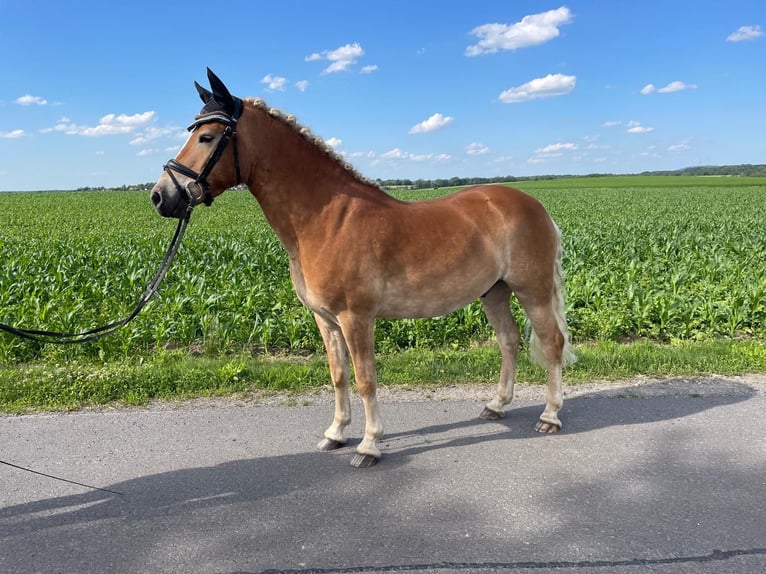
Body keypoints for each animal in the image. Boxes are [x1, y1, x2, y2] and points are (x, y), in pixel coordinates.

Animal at [150, 70, 576, 470]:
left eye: (207, 136)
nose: (160, 196)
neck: (325, 219)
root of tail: (535, 206)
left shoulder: (356, 318)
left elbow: (365, 378)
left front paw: (369, 445)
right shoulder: (326, 319)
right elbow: (338, 375)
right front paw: (336, 433)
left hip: (532, 290)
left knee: (552, 343)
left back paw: (550, 416)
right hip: (495, 292)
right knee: (509, 341)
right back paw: (496, 406)